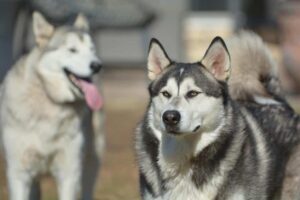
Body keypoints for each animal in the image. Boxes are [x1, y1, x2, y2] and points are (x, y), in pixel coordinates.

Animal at [0, 12, 105, 200]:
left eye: (92, 50)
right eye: (72, 50)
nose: (97, 65)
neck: (50, 103)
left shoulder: (69, 172)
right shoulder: (19, 173)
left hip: (92, 159)